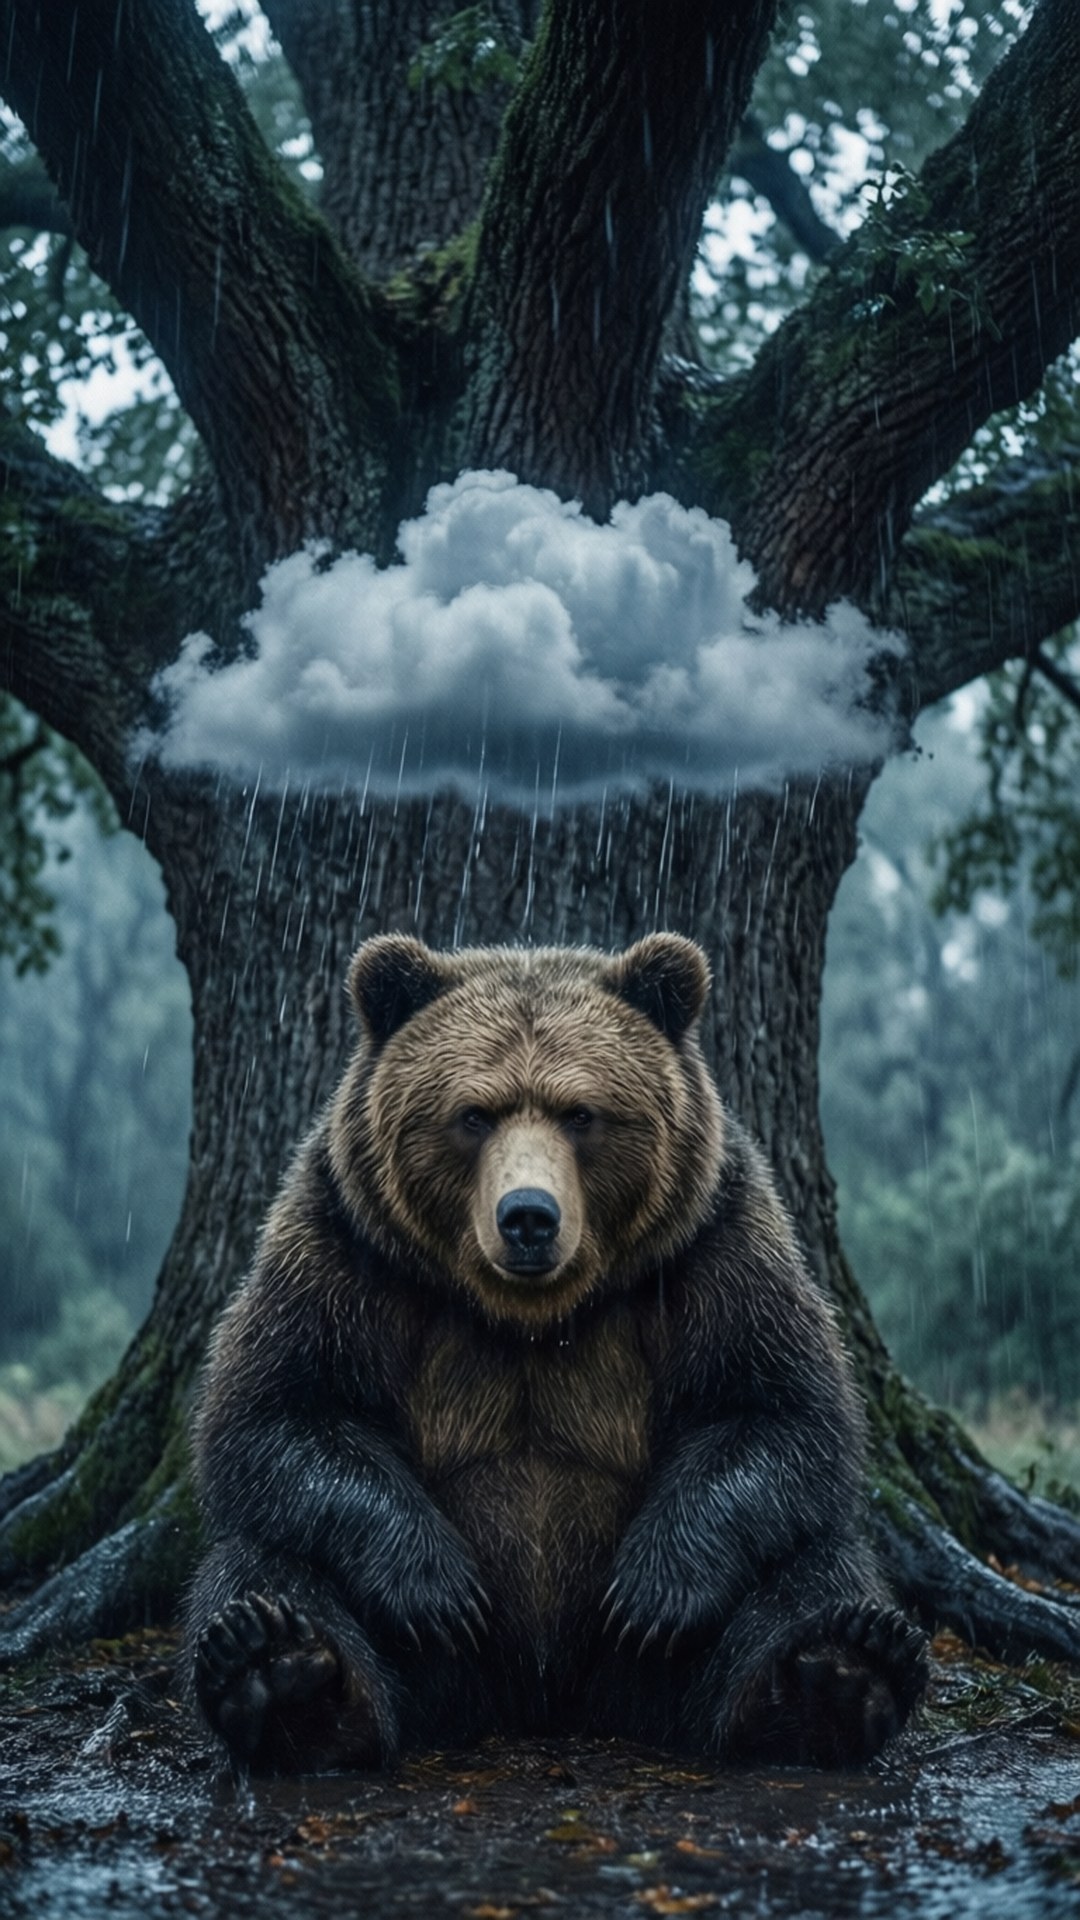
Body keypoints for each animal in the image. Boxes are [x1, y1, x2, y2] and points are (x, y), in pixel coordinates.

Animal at [187, 932, 927, 1773]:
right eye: (473, 1113)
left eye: (581, 1113)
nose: (528, 1217)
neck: (530, 1315)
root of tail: (543, 1705)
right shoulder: (348, 1244)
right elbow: (276, 1413)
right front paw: (437, 1589)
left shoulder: (712, 1241)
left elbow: (779, 1410)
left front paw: (652, 1591)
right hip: (436, 1670)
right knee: (264, 1561)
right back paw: (277, 1671)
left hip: (651, 1673)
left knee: (815, 1564)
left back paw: (840, 1672)